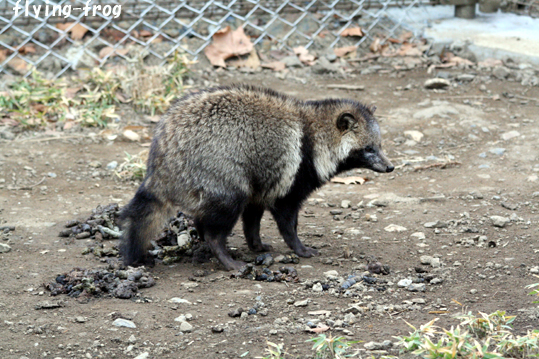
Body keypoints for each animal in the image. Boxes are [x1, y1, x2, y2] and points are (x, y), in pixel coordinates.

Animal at [120, 84, 394, 270]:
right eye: (369, 149)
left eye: (379, 146)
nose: (390, 167)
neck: (314, 134)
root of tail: (161, 161)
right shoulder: (289, 181)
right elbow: (287, 223)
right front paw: (299, 247)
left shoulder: (263, 185)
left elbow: (252, 220)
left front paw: (256, 244)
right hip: (220, 177)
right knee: (218, 222)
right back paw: (223, 254)